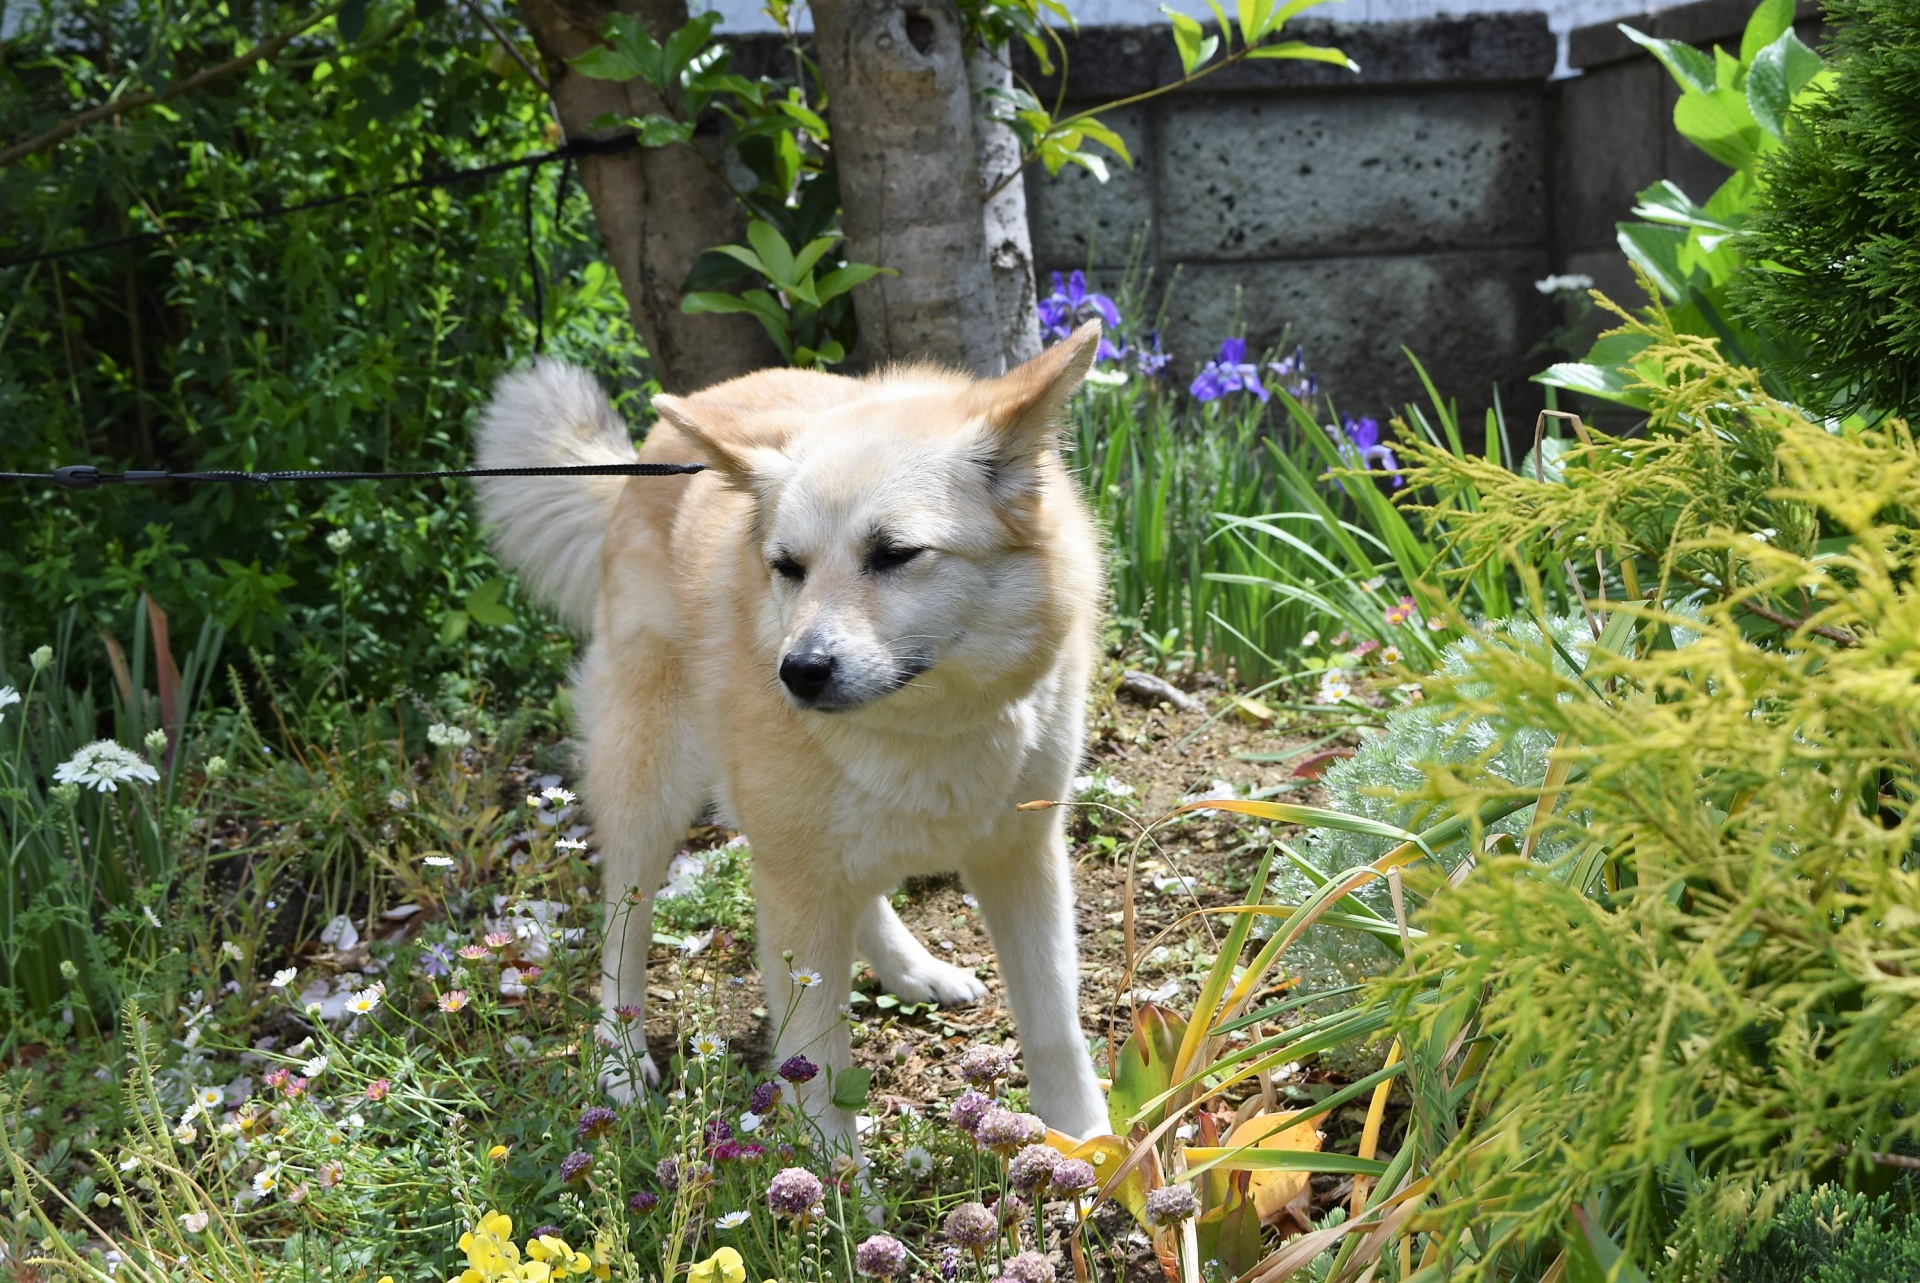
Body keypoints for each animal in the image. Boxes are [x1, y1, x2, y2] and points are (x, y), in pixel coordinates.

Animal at [472, 326, 1113, 1144]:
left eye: (895, 554)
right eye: (788, 567)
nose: (799, 672)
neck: (928, 720)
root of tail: (654, 450)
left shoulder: (1023, 857)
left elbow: (1054, 1022)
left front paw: (1091, 1146)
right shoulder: (795, 885)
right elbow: (815, 1069)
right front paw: (833, 1179)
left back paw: (911, 968)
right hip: (651, 785)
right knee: (623, 932)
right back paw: (621, 1062)